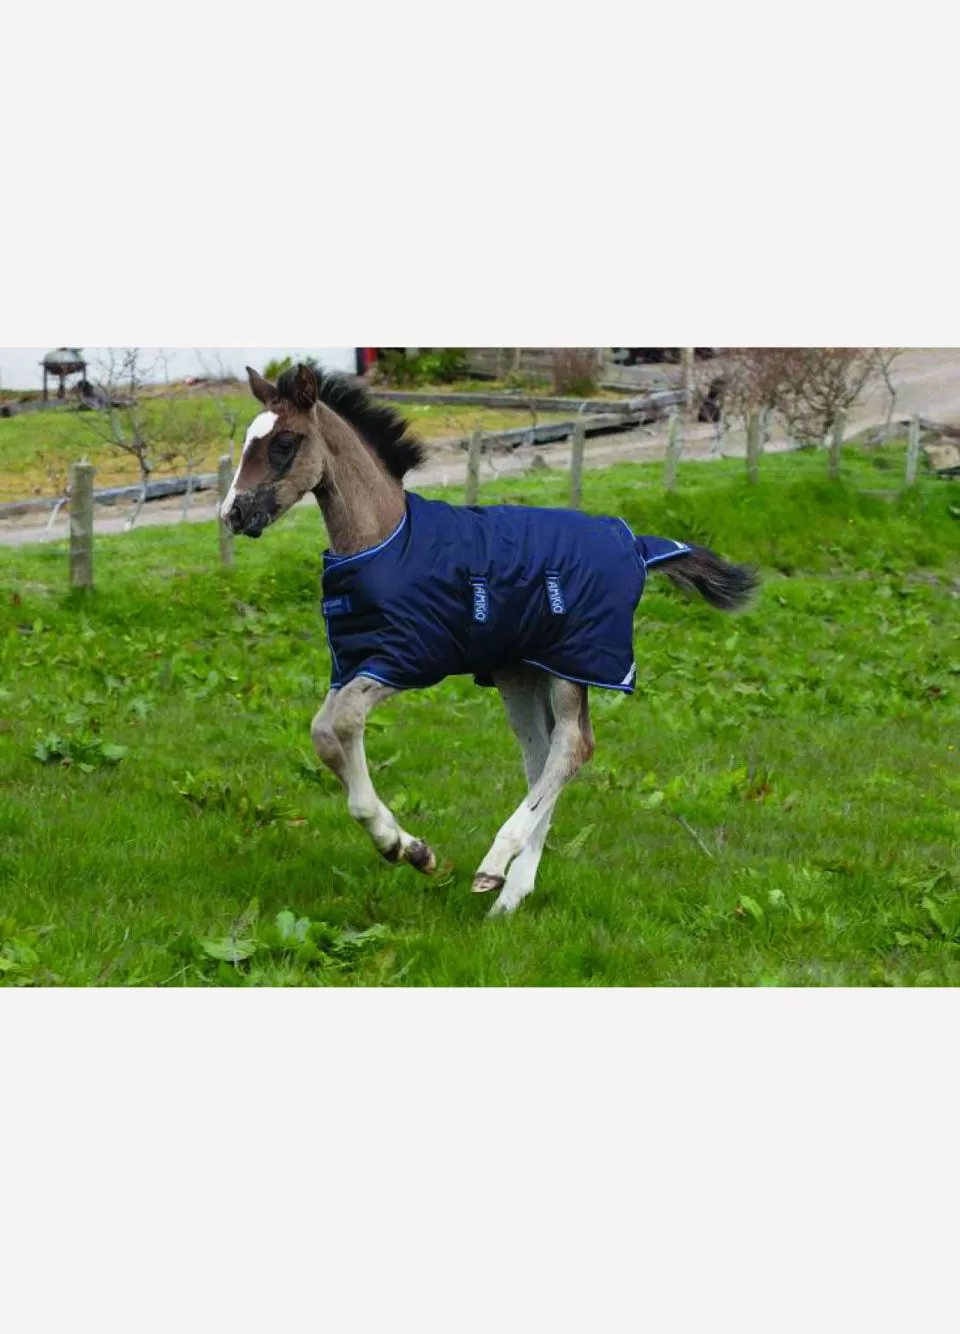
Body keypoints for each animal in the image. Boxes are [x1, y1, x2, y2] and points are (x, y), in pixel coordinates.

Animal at [222, 362, 757, 917]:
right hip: (520, 673)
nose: (232, 514)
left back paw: (496, 862)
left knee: (573, 746)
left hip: (573, 664)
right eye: (247, 441)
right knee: (543, 755)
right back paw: (511, 892)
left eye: (284, 443)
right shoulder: (354, 662)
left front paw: (400, 845)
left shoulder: (406, 658)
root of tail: (636, 544)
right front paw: (411, 848)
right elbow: (325, 734)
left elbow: (342, 723)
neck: (385, 539)